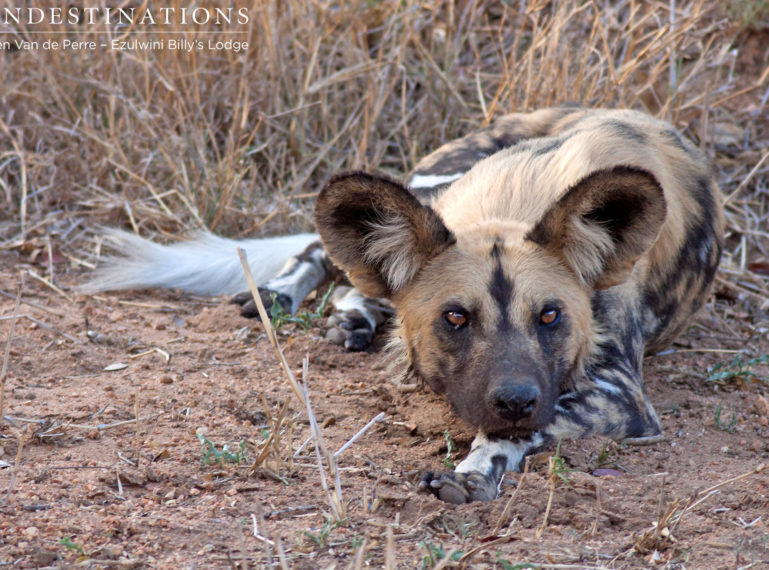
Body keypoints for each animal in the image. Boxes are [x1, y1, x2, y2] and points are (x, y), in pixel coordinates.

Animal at [87, 105, 724, 502]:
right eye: (456, 317)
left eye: (550, 316)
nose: (516, 400)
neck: (516, 200)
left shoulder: (621, 398)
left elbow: (514, 434)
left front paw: (476, 472)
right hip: (424, 188)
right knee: (330, 252)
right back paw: (293, 297)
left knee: (359, 279)